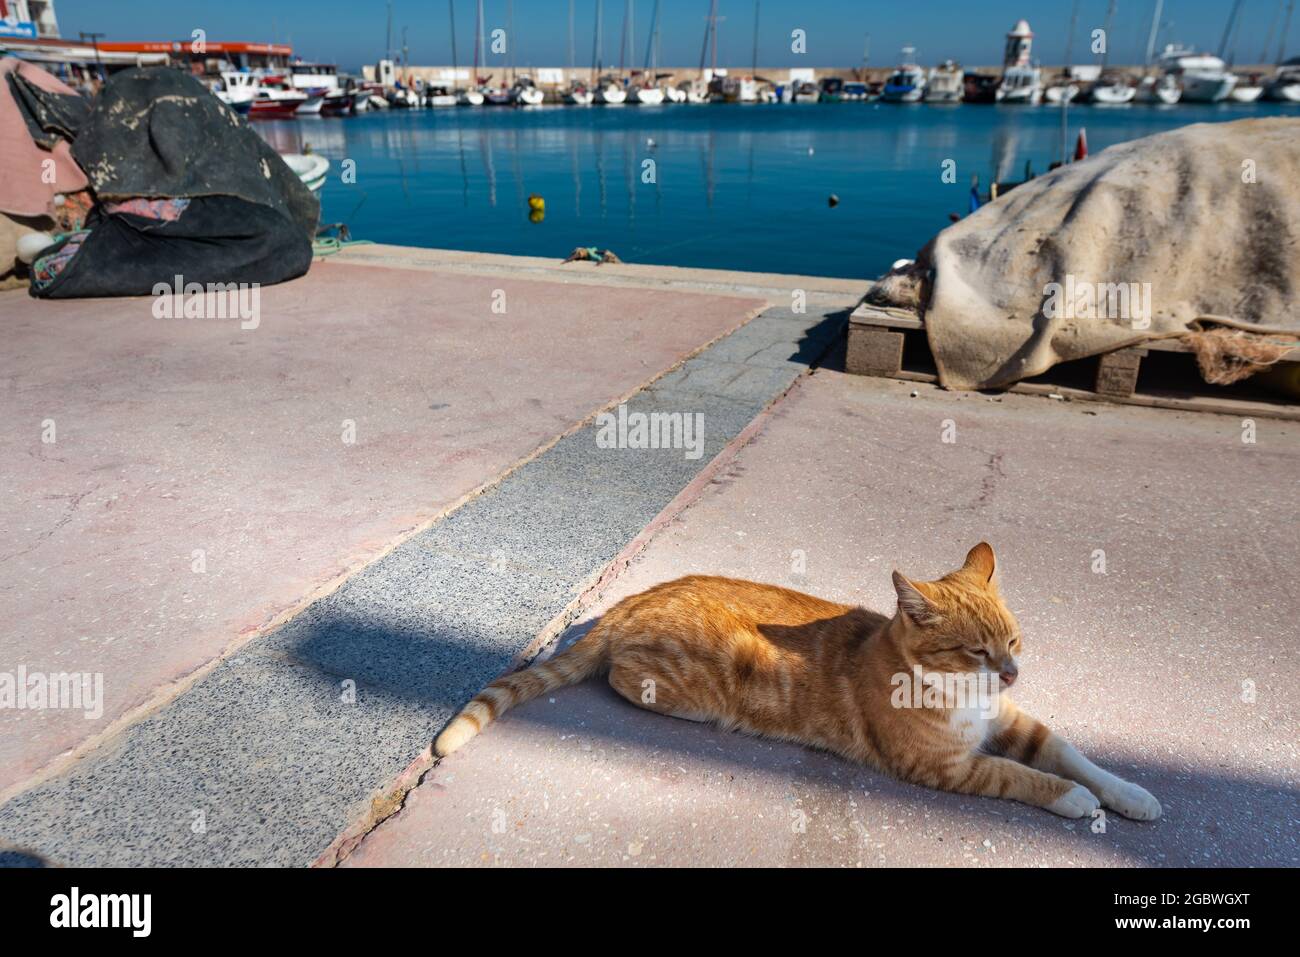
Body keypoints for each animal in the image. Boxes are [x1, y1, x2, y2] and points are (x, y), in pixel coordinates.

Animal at [434, 540, 1159, 816]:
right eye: (975, 651)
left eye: (1013, 642)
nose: (1009, 674)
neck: (966, 700)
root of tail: (627, 601)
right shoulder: (949, 768)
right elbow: (1025, 776)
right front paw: (1075, 800)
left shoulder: (1014, 723)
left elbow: (1073, 753)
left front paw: (1130, 793)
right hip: (684, 678)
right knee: (621, 677)